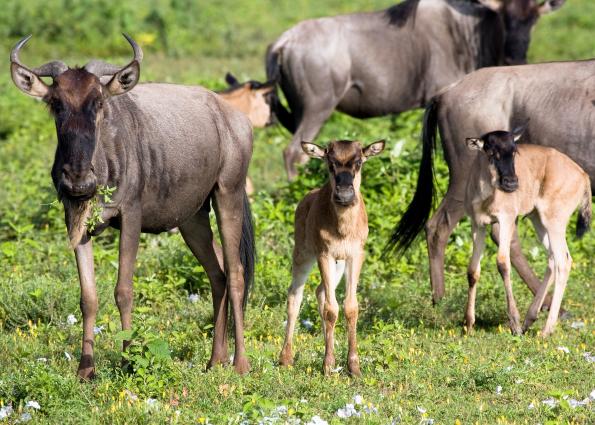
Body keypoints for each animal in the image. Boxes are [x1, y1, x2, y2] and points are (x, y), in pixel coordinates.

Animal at [280, 139, 386, 374]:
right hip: (303, 254)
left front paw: (353, 366)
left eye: (359, 162)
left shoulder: (355, 256)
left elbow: (350, 307)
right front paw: (328, 366)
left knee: (320, 292)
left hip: (339, 264)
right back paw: (286, 358)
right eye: (330, 163)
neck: (343, 227)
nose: (344, 195)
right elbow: (331, 309)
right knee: (295, 295)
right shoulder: (324, 254)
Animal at [466, 127, 592, 336]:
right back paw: (529, 320)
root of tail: (583, 176)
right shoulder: (478, 225)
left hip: (555, 222)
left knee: (563, 261)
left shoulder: (507, 220)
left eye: (514, 151)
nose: (511, 183)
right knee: (552, 259)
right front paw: (468, 325)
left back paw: (545, 330)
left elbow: (503, 263)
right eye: (491, 151)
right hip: (539, 221)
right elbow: (473, 270)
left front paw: (514, 324)